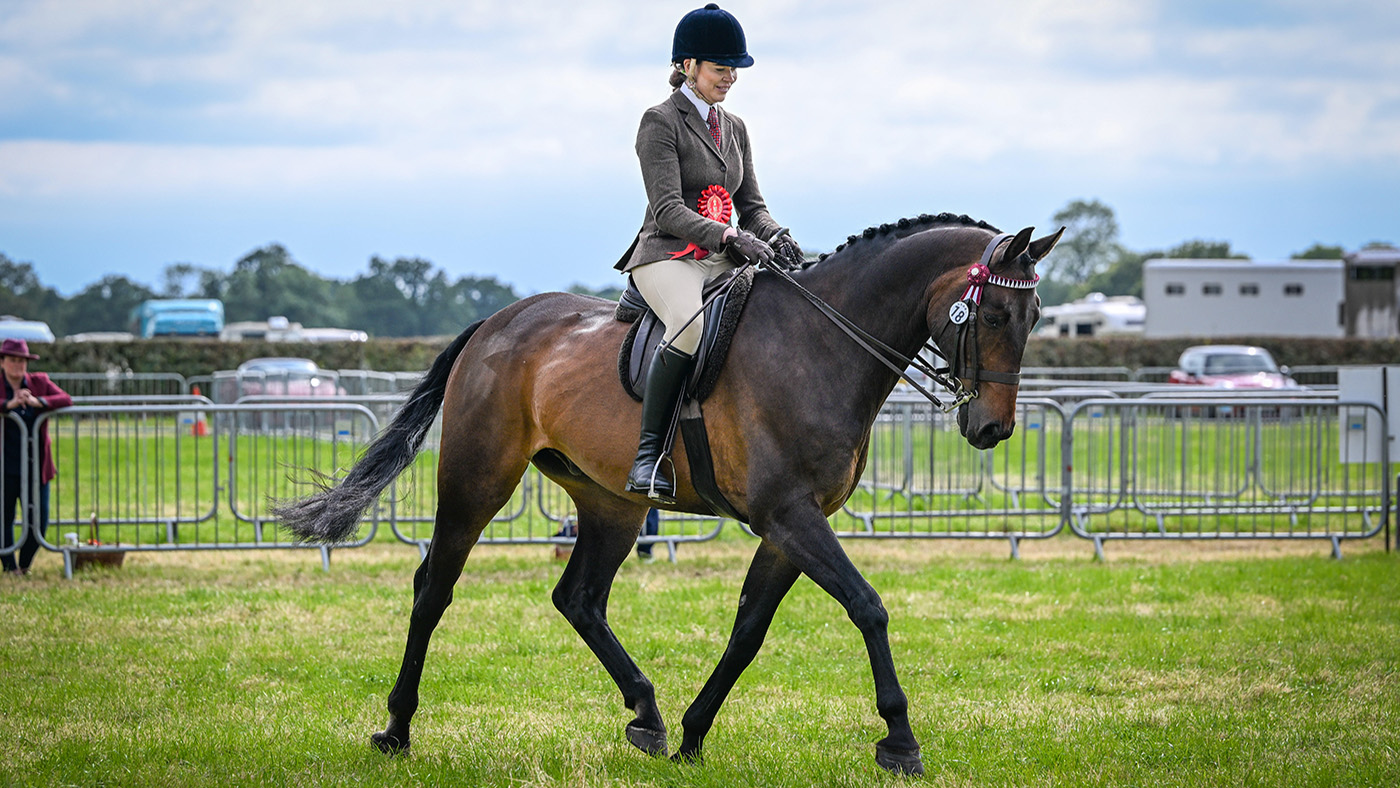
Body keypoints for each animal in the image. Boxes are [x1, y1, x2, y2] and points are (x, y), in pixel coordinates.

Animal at [275, 212, 1063, 776]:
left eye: (1034, 320)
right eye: (994, 316)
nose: (992, 428)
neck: (821, 346)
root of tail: (498, 322)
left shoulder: (789, 527)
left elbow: (748, 631)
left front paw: (692, 735)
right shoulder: (789, 515)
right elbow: (868, 607)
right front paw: (900, 741)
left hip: (613, 503)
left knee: (579, 598)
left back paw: (647, 715)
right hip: (477, 480)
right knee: (434, 587)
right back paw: (396, 728)